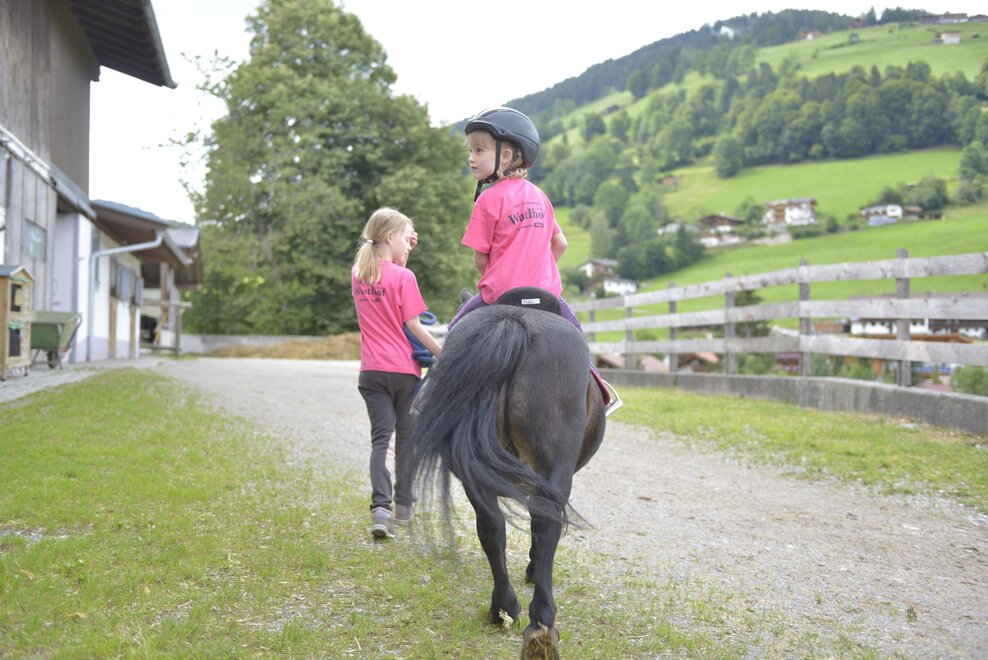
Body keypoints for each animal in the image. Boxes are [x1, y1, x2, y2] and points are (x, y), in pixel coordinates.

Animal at [402, 288, 606, 658]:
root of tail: (513, 323)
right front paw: (533, 569)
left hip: (474, 468)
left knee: (491, 526)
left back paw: (503, 608)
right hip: (552, 468)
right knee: (545, 524)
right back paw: (541, 622)